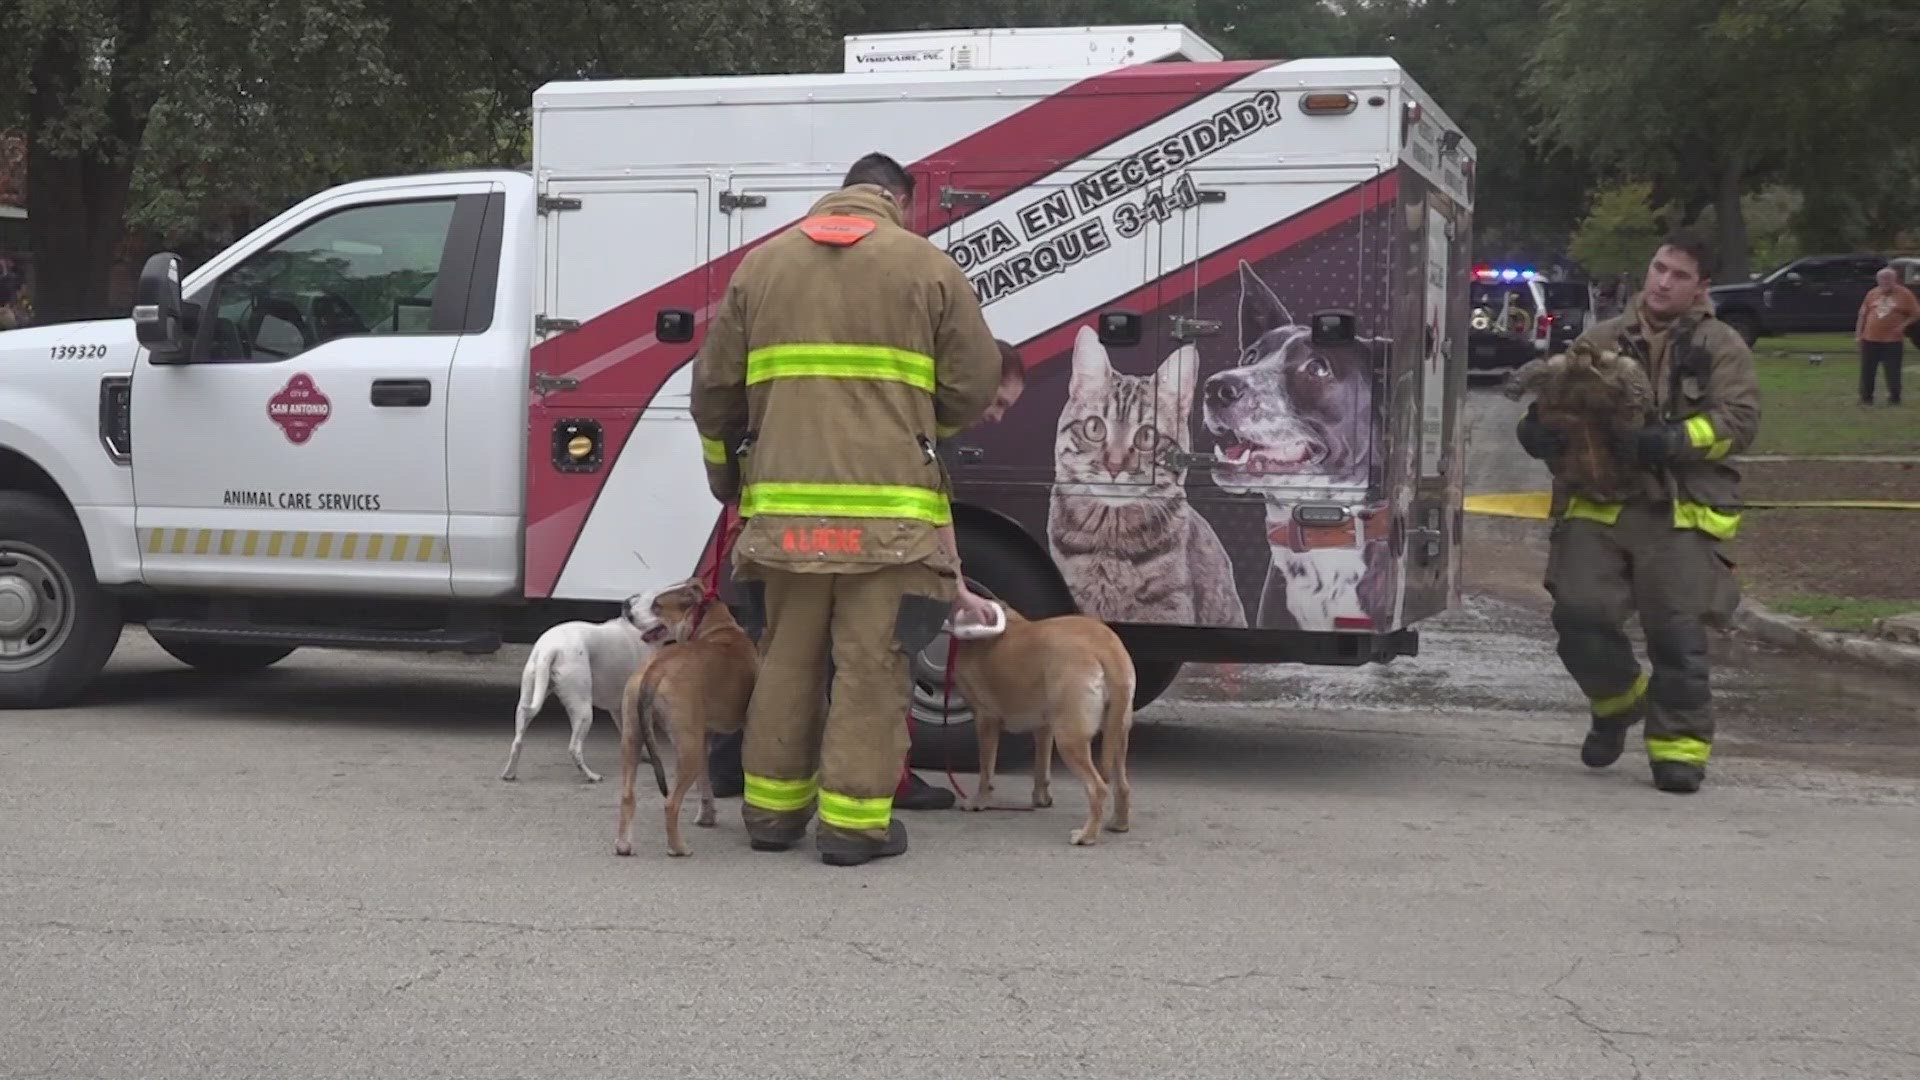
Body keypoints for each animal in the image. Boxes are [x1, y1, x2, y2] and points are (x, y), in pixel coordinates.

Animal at [499, 588, 672, 780]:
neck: (636, 628)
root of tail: (549, 649)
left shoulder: (618, 708)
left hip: (527, 701)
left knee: (517, 741)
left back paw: (509, 773)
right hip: (583, 712)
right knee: (574, 748)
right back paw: (591, 776)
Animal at [618, 576, 760, 853]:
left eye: (656, 604)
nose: (626, 607)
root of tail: (656, 668)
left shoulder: (704, 737)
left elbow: (705, 784)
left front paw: (707, 816)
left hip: (633, 736)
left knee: (628, 794)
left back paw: (623, 845)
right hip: (688, 749)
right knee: (670, 803)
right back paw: (678, 848)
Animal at [948, 607, 1136, 841]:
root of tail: (1106, 647)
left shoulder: (985, 719)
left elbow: (986, 770)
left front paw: (979, 801)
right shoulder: (1044, 728)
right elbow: (1041, 768)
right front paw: (1042, 799)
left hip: (1069, 738)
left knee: (1097, 788)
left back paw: (1086, 836)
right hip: (1117, 733)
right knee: (1123, 786)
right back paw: (1119, 824)